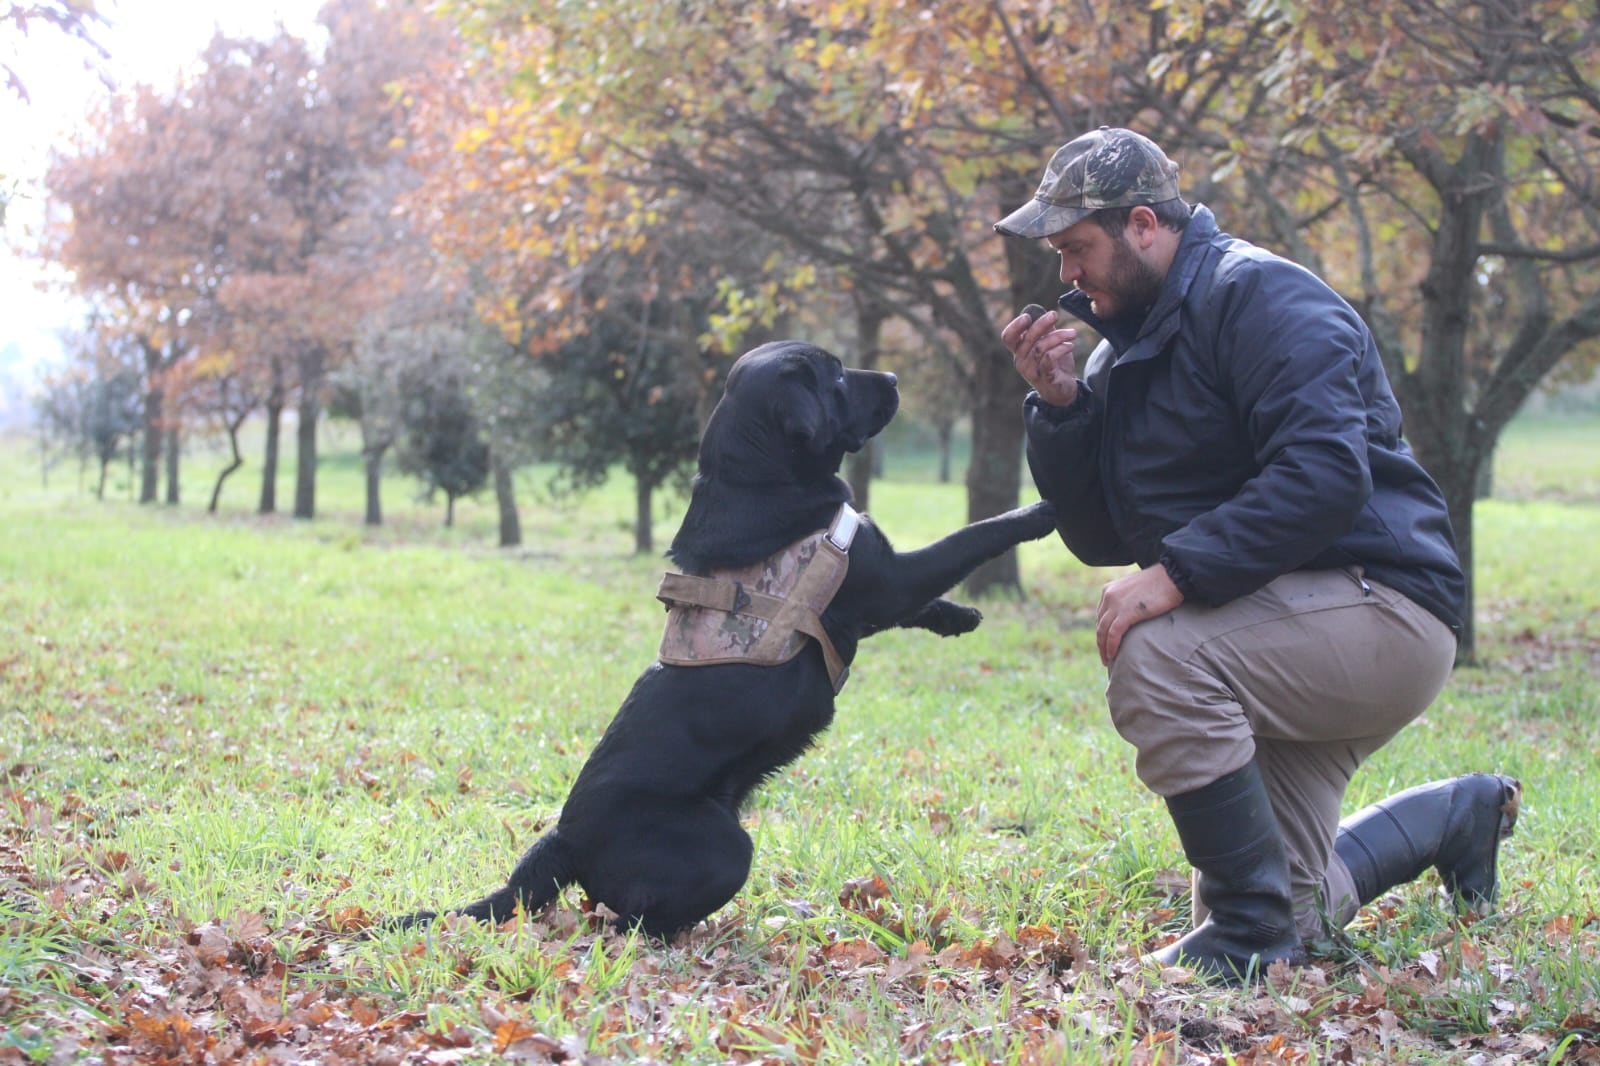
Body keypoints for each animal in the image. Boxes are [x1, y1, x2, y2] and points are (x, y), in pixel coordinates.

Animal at [392, 336, 1056, 934]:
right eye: (838, 375)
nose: (893, 376)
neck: (762, 482)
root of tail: (564, 840)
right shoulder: (885, 577)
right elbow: (967, 539)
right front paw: (1041, 511)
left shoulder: (876, 593)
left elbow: (927, 596)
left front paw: (958, 616)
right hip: (723, 844)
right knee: (627, 922)